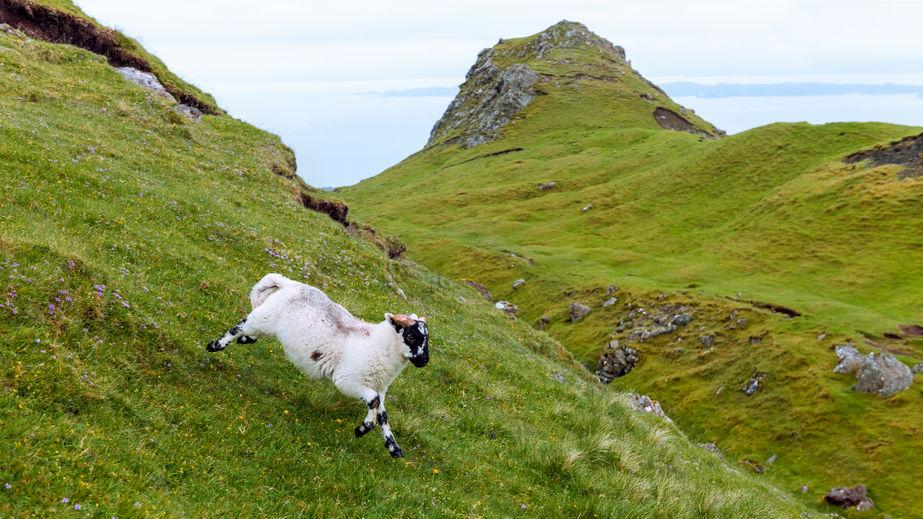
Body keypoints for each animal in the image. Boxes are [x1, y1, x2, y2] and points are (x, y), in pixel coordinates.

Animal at [206, 274, 430, 458]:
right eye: (411, 336)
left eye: (427, 338)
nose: (424, 361)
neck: (376, 346)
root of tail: (289, 283)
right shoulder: (347, 381)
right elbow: (373, 403)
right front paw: (362, 429)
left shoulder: (380, 388)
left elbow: (382, 414)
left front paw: (393, 447)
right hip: (264, 318)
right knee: (240, 326)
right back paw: (215, 345)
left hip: (267, 322)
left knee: (248, 333)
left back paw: (244, 340)